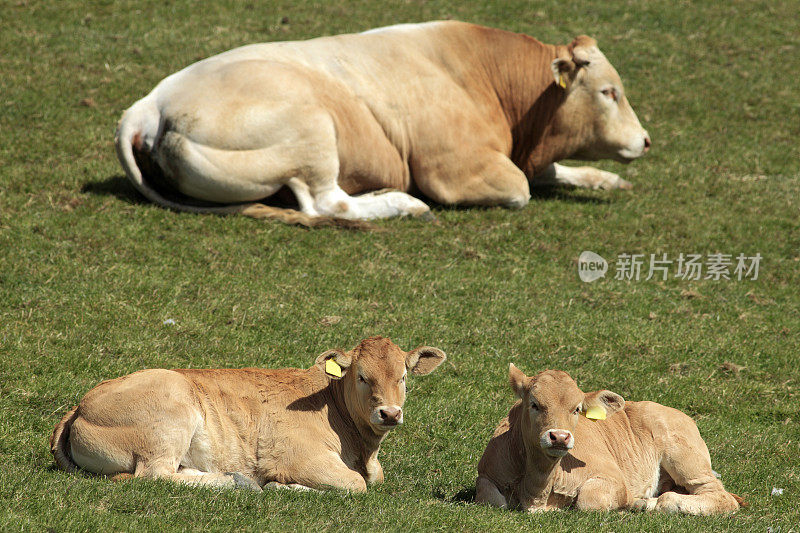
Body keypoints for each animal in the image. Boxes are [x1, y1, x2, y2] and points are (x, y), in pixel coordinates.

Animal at [50, 336, 446, 490]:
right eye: (362, 376)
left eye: (403, 377)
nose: (390, 413)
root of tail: (82, 403)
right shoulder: (297, 456)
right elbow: (355, 484)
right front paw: (282, 487)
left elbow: (372, 478)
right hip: (168, 419)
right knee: (155, 475)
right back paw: (235, 481)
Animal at [114, 19, 648, 224]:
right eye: (609, 91)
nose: (644, 141)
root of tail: (151, 102)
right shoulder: (456, 169)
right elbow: (522, 188)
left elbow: (554, 171)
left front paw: (605, 180)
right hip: (313, 129)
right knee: (328, 204)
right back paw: (400, 203)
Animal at [476, 364, 744, 512]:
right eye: (534, 404)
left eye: (576, 409)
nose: (559, 437)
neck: (537, 490)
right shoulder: (486, 474)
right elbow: (493, 500)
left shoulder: (613, 478)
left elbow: (590, 500)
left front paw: (635, 503)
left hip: (686, 457)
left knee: (719, 496)